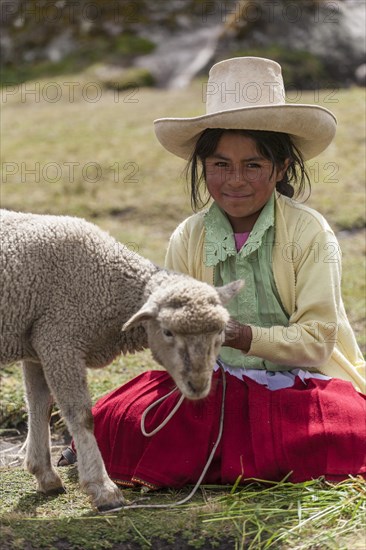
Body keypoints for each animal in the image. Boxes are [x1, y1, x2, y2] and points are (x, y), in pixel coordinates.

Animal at [0, 211, 243, 512]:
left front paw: (44, 474)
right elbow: (81, 416)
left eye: (220, 331)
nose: (198, 385)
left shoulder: (38, 341)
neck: (110, 283)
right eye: (167, 332)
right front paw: (104, 490)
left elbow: (39, 406)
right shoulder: (60, 339)